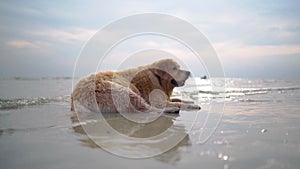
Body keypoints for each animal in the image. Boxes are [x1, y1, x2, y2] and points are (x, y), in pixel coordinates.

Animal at [71, 58, 200, 113]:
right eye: (174, 68)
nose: (188, 72)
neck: (157, 78)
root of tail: (76, 96)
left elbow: (178, 99)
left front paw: (190, 101)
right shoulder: (158, 101)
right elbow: (178, 102)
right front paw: (192, 105)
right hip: (122, 91)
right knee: (149, 109)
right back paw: (171, 109)